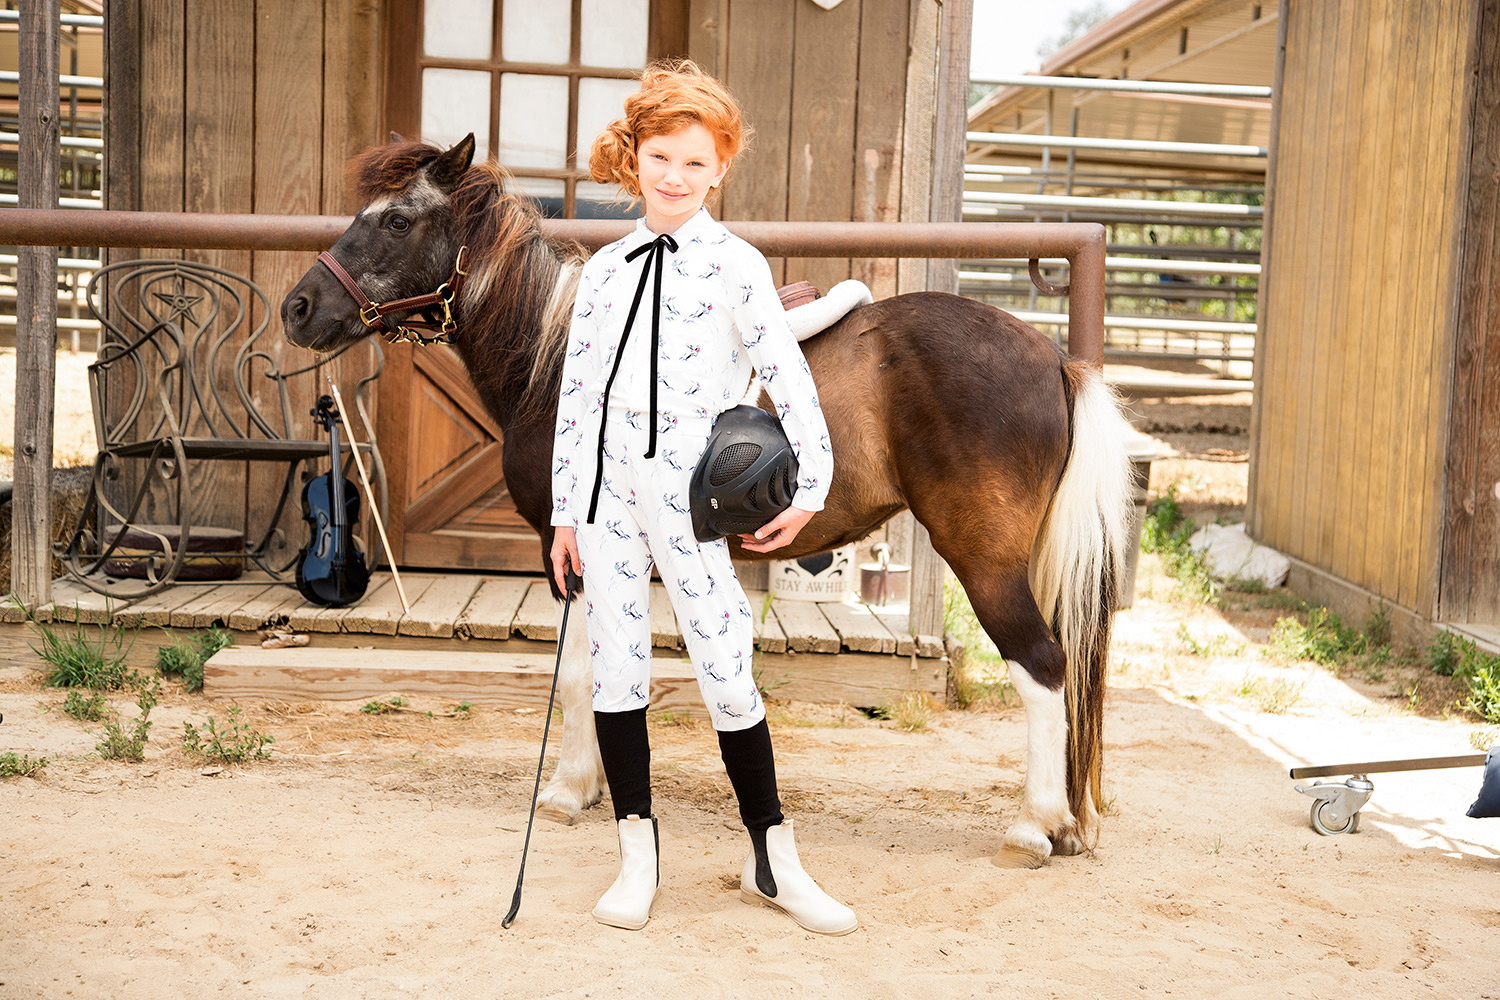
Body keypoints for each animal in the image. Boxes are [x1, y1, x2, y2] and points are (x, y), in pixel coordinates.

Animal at [281, 134, 1133, 868]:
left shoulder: (577, 554)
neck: (563, 362)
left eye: (397, 219)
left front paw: (568, 790)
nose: (297, 307)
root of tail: (1052, 357)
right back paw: (1064, 823)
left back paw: (1033, 827)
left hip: (984, 560)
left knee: (1042, 666)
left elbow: (579, 673)